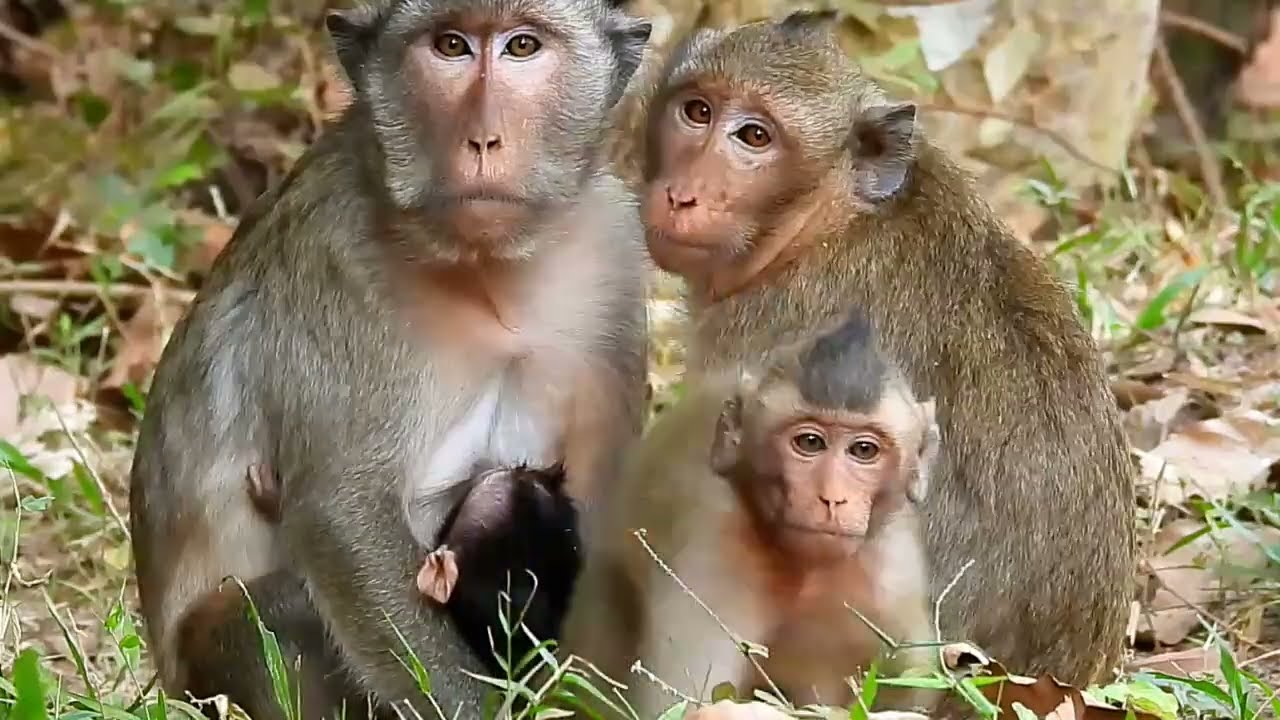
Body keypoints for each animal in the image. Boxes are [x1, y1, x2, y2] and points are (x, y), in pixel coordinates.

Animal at [128, 1, 653, 718]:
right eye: (450, 46)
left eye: (523, 47)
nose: (482, 139)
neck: (486, 271)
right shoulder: (338, 257)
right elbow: (342, 513)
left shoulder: (613, 245)